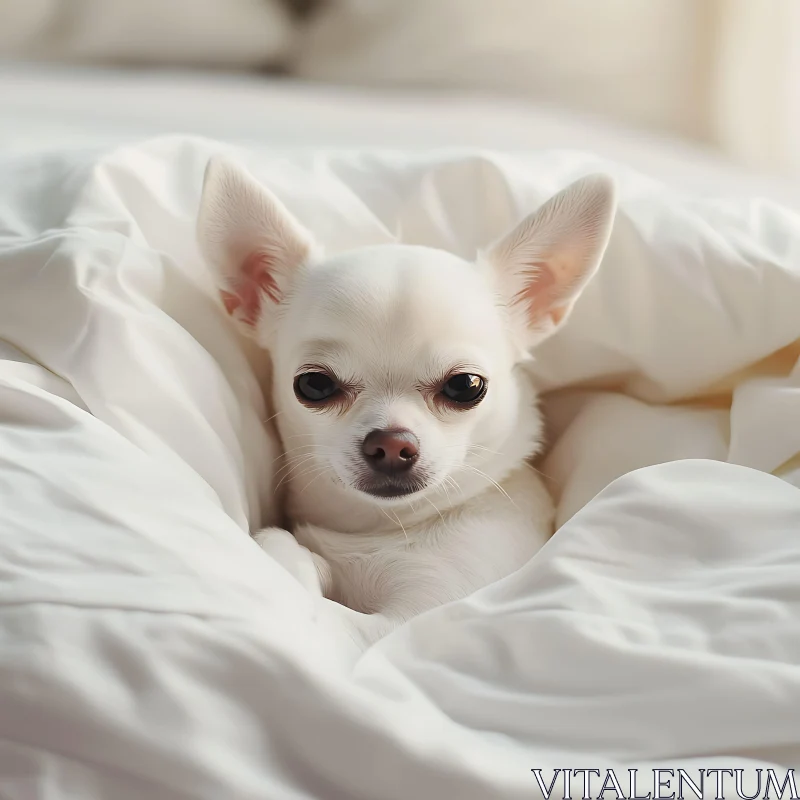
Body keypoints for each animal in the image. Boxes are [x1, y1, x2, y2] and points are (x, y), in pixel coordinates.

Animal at [197, 158, 616, 648]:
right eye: (314, 385)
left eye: (466, 386)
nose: (391, 444)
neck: (381, 525)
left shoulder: (402, 625)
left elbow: (300, 575)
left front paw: (297, 556)